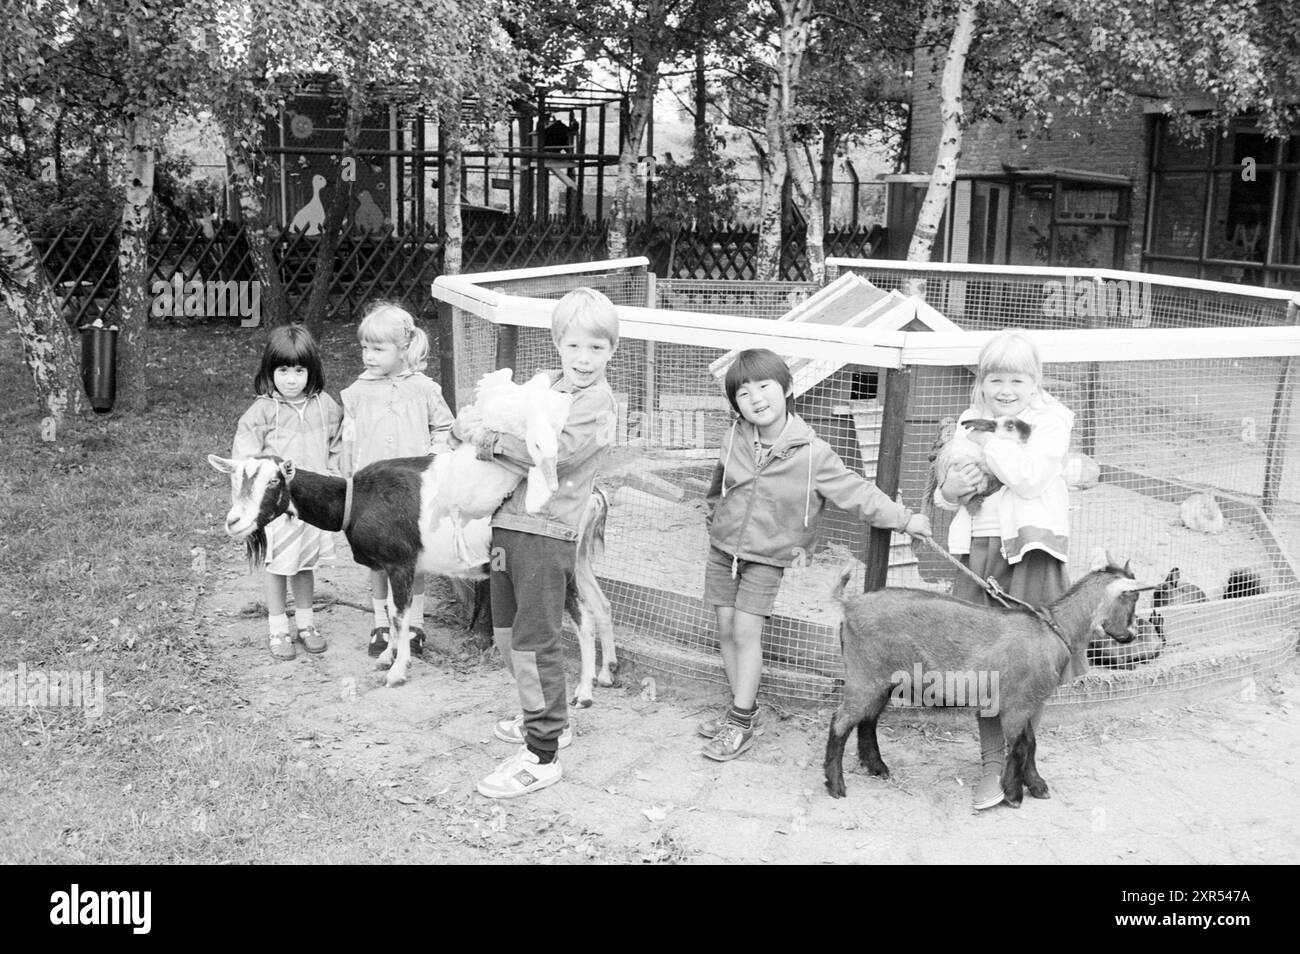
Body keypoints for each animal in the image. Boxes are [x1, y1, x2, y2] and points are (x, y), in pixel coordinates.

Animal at [210, 454, 616, 696]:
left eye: (273, 482)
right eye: (235, 481)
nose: (234, 522)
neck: (357, 499)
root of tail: (594, 495)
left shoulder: (402, 564)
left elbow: (403, 616)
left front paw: (397, 671)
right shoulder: (393, 567)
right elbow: (391, 613)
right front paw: (387, 656)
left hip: (553, 562)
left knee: (582, 617)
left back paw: (584, 692)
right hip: (580, 559)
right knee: (602, 605)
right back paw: (607, 672)